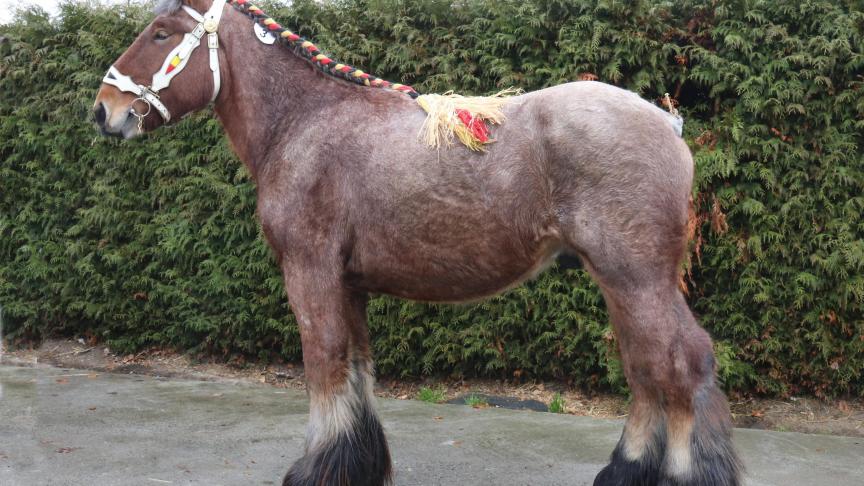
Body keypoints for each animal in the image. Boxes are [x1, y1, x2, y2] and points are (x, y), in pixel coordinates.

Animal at [93, 1, 744, 484]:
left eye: (160, 33)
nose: (105, 110)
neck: (306, 121)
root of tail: (667, 122)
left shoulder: (310, 271)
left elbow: (324, 363)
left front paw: (315, 470)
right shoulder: (348, 283)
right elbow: (357, 368)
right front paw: (357, 466)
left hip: (636, 277)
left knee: (680, 362)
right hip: (621, 281)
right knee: (645, 367)